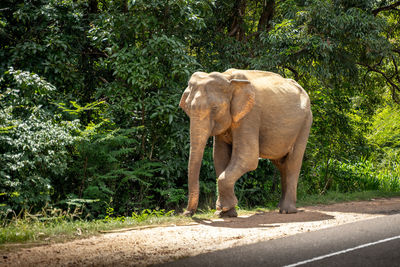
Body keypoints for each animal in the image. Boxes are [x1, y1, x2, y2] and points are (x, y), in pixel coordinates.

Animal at [179, 69, 312, 218]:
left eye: (214, 108)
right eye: (187, 108)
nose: (186, 213)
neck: (228, 79)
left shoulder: (250, 115)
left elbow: (248, 157)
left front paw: (224, 209)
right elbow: (219, 157)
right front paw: (226, 214)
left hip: (306, 122)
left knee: (293, 162)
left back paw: (287, 211)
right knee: (281, 163)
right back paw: (281, 207)